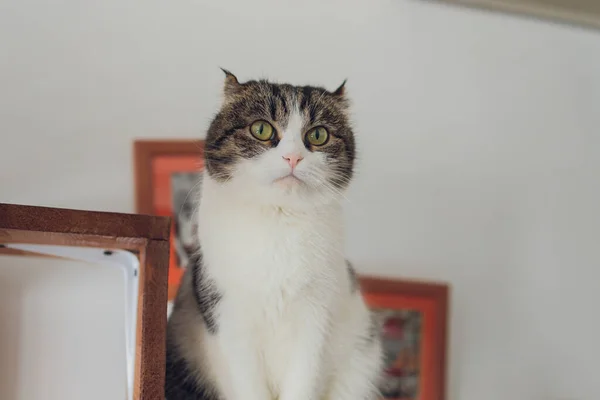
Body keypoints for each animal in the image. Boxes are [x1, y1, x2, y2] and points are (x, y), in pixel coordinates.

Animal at [164, 70, 382, 400]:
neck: (278, 226)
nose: (293, 158)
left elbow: (303, 380)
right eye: (262, 129)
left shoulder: (316, 318)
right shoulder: (229, 316)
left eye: (318, 135)